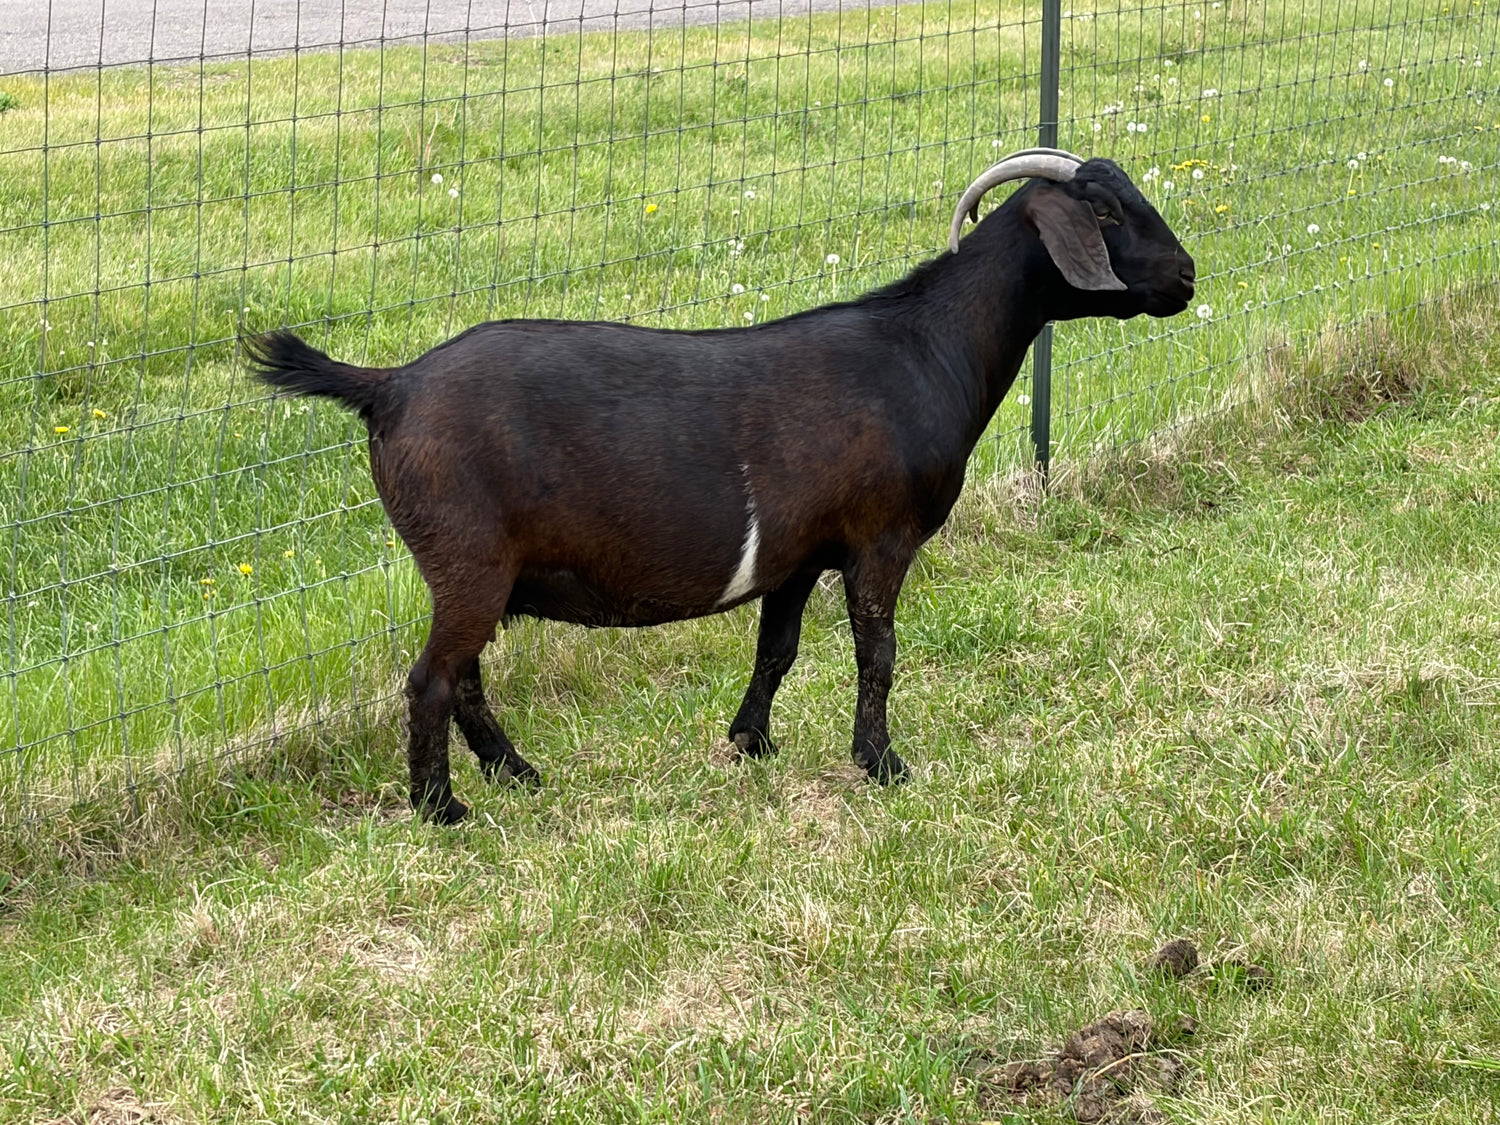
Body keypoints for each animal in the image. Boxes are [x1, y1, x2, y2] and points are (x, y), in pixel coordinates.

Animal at [247, 149, 1195, 823]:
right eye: (1106, 210)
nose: (1185, 277)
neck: (925, 349)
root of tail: (390, 386)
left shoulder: (799, 556)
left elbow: (777, 649)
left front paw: (750, 743)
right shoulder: (879, 539)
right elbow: (878, 653)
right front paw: (883, 763)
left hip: (477, 570)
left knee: (465, 677)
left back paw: (520, 774)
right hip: (468, 559)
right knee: (430, 680)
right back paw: (442, 808)